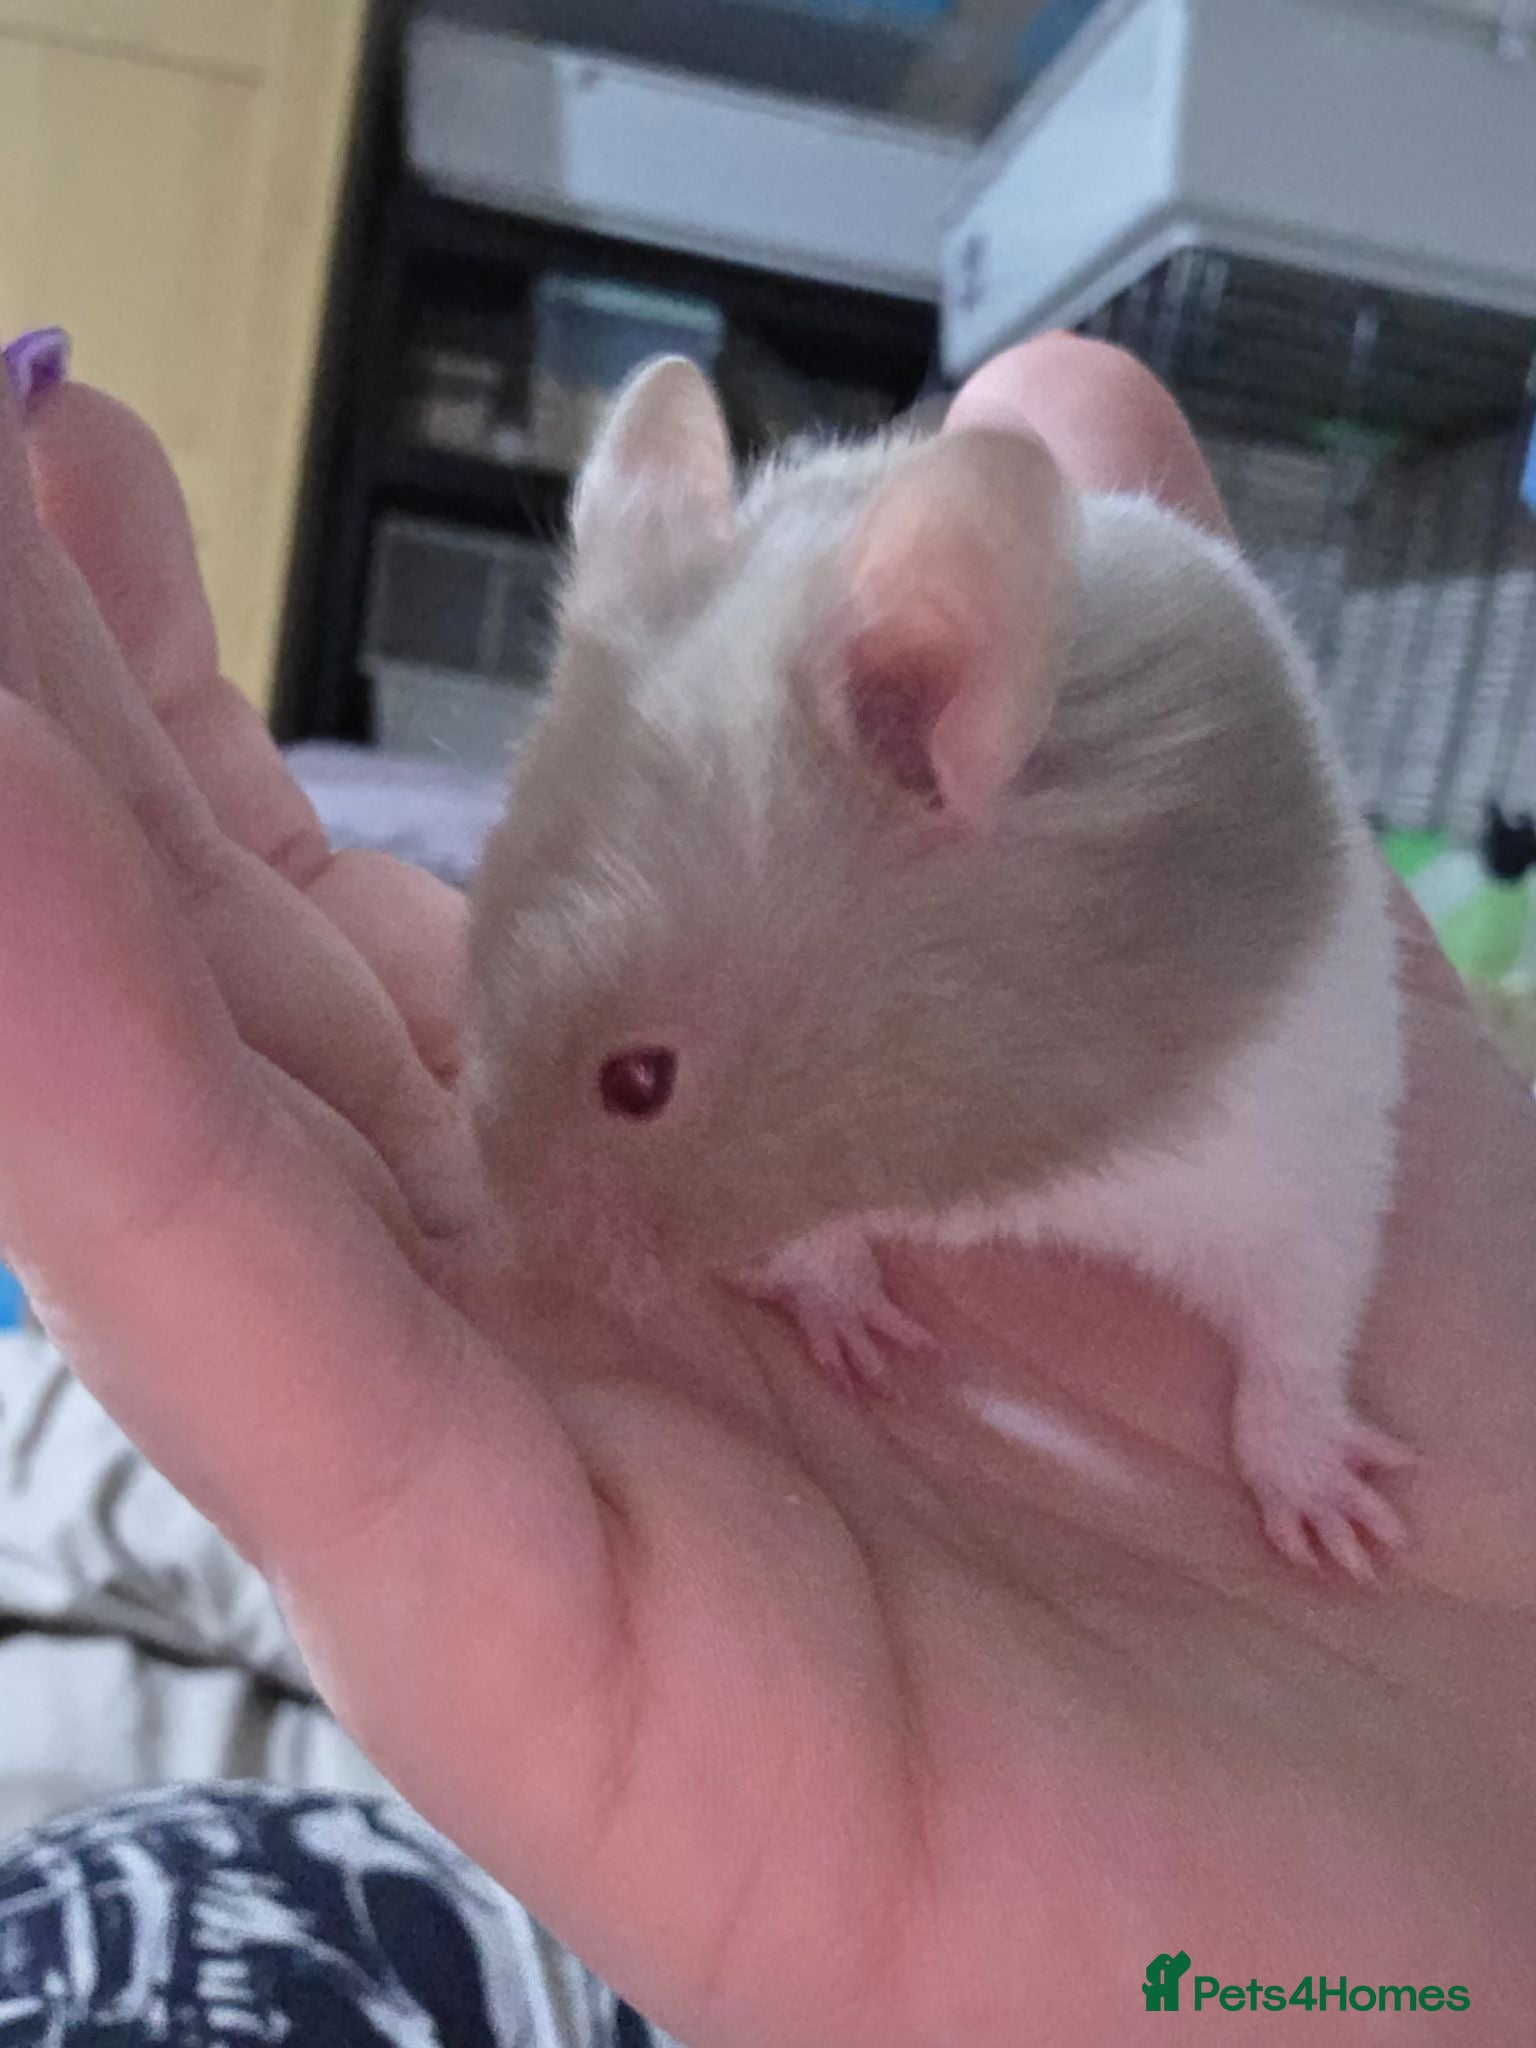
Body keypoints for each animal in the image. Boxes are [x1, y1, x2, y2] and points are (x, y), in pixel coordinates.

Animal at [464, 356, 1410, 1577]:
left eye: (639, 1081)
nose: (518, 1272)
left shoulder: (1310, 1153)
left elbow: (1300, 1332)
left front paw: (1346, 1532)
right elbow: (820, 1237)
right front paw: (858, 1336)